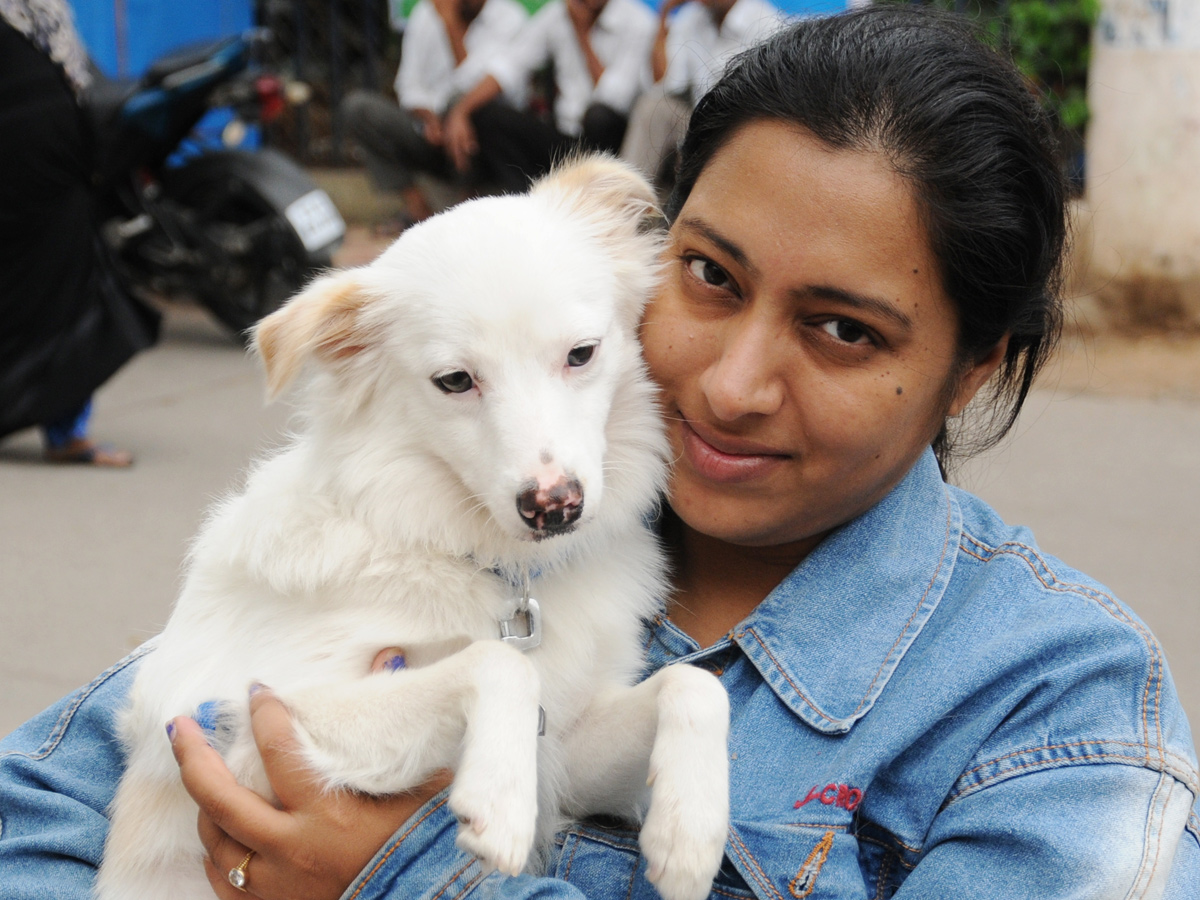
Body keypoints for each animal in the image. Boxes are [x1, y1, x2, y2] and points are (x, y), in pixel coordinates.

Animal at [96, 158, 729, 900]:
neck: (469, 555)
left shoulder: (567, 748)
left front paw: (689, 832)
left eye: (581, 354)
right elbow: (498, 663)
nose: (554, 507)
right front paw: (499, 800)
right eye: (454, 380)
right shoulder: (252, 730)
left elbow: (696, 685)